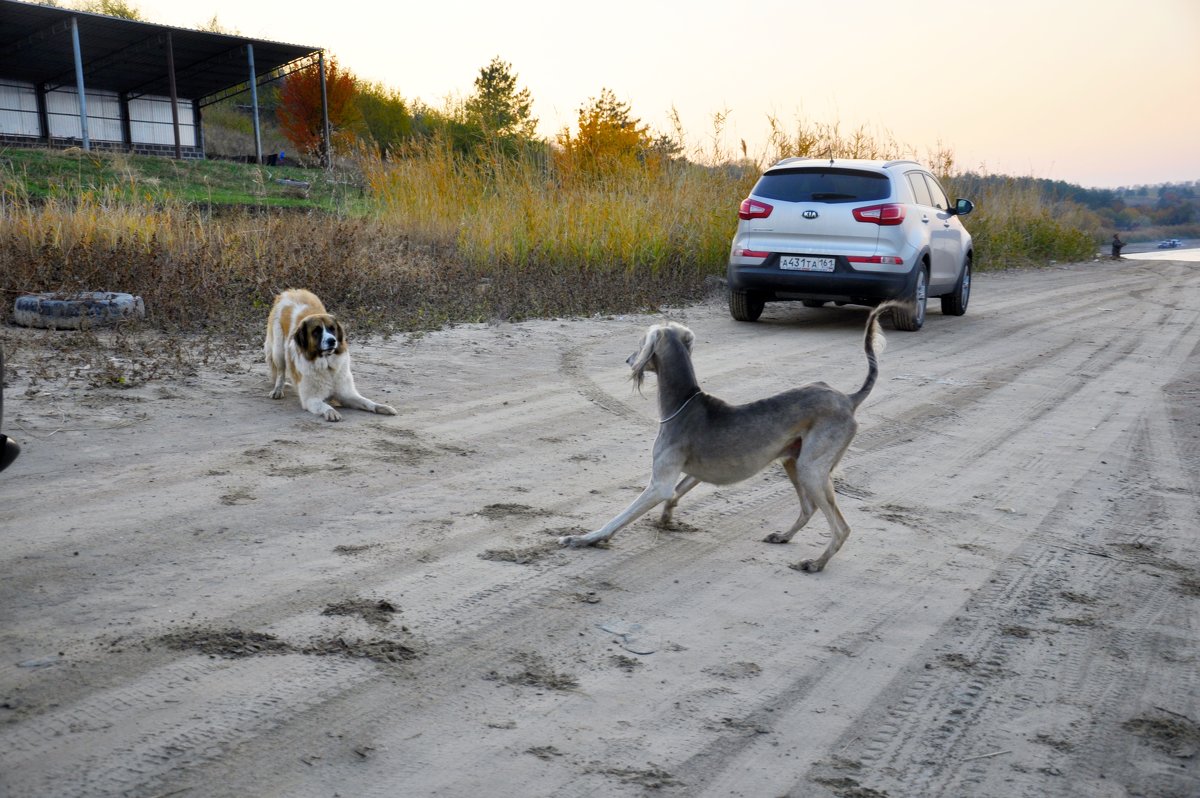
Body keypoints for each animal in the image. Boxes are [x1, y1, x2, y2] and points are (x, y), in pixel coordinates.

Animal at [264, 288, 398, 422]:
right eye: (316, 331)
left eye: (332, 329)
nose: (332, 340)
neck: (327, 366)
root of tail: (291, 292)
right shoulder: (310, 399)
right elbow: (324, 405)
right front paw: (331, 412)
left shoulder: (347, 394)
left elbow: (366, 401)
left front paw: (381, 407)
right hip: (278, 351)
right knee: (281, 372)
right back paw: (277, 390)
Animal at [556, 302, 897, 568]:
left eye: (640, 342)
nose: (628, 360)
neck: (682, 403)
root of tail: (848, 398)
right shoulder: (692, 473)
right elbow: (676, 493)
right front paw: (666, 520)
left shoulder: (658, 483)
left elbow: (622, 516)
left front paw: (585, 538)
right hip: (793, 460)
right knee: (808, 508)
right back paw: (784, 536)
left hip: (812, 468)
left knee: (841, 527)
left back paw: (816, 563)